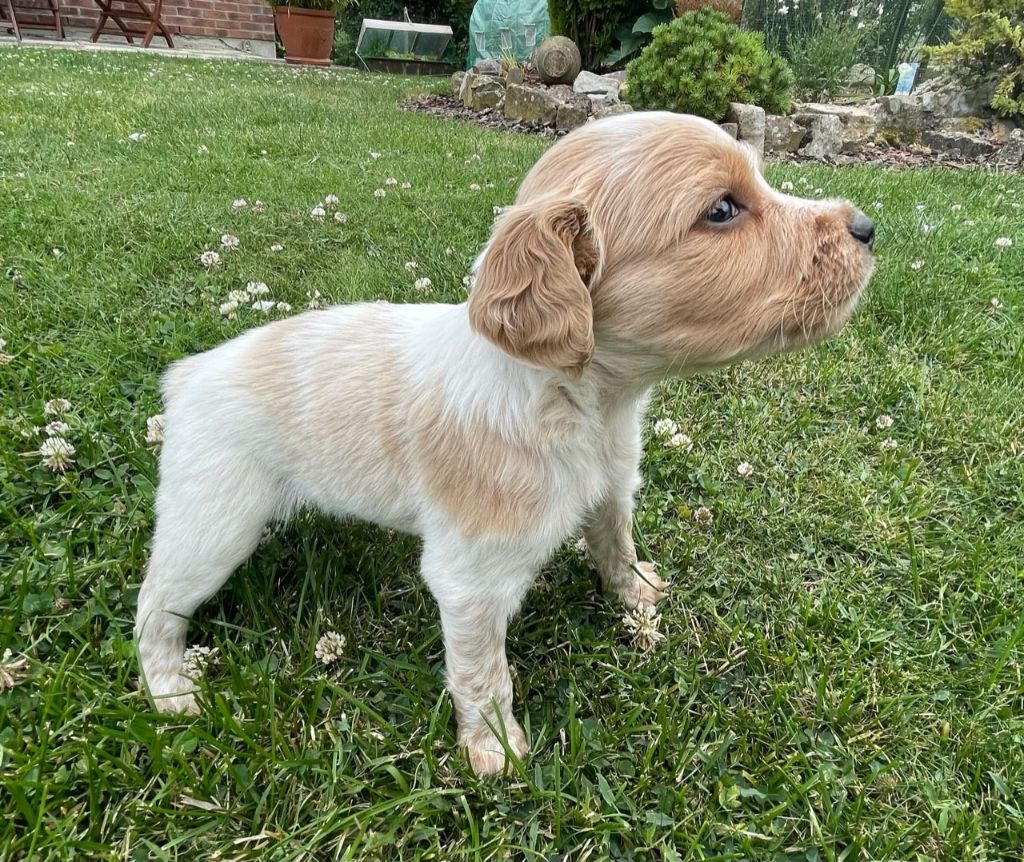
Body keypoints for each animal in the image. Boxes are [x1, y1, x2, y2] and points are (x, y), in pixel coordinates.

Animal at [134, 109, 872, 773]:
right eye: (722, 209)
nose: (867, 227)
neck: (581, 401)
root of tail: (189, 372)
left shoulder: (613, 485)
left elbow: (616, 540)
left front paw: (635, 592)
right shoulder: (470, 579)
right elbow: (483, 672)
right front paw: (493, 749)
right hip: (214, 524)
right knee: (153, 607)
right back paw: (169, 691)